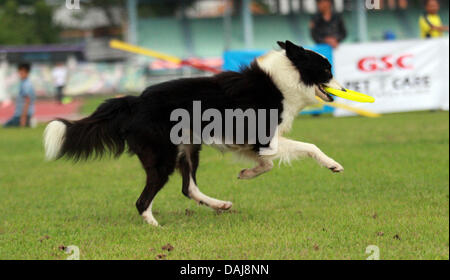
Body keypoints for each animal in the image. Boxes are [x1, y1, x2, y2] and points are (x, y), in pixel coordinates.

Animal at [43, 41, 344, 225]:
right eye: (326, 68)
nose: (342, 89)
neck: (286, 79)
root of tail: (135, 100)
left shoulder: (251, 142)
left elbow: (266, 164)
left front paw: (247, 173)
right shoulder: (263, 137)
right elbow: (309, 147)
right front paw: (332, 164)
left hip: (187, 147)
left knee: (188, 187)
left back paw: (220, 205)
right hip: (163, 156)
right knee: (143, 200)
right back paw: (155, 226)